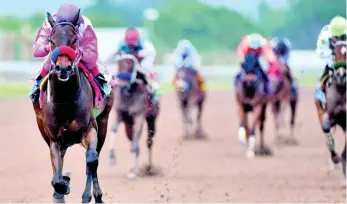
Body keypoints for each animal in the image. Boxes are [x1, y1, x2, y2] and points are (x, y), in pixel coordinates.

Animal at [31, 11, 115, 202]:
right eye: (51, 40)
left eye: (74, 39)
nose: (63, 69)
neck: (66, 101)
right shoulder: (54, 138)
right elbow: (57, 177)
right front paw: (62, 185)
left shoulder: (90, 128)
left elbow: (91, 159)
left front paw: (88, 195)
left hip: (104, 123)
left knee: (94, 158)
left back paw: (94, 195)